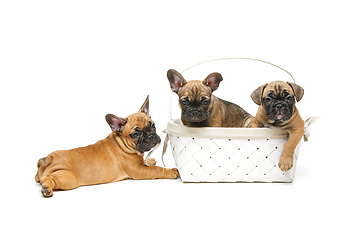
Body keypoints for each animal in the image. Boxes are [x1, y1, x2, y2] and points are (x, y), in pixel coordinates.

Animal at [35, 95, 179, 197]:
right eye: (135, 134)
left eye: (152, 125)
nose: (150, 135)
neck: (122, 144)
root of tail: (48, 159)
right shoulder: (138, 170)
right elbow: (157, 170)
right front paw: (171, 172)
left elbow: (147, 161)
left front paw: (150, 160)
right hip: (68, 178)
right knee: (48, 178)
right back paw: (47, 188)